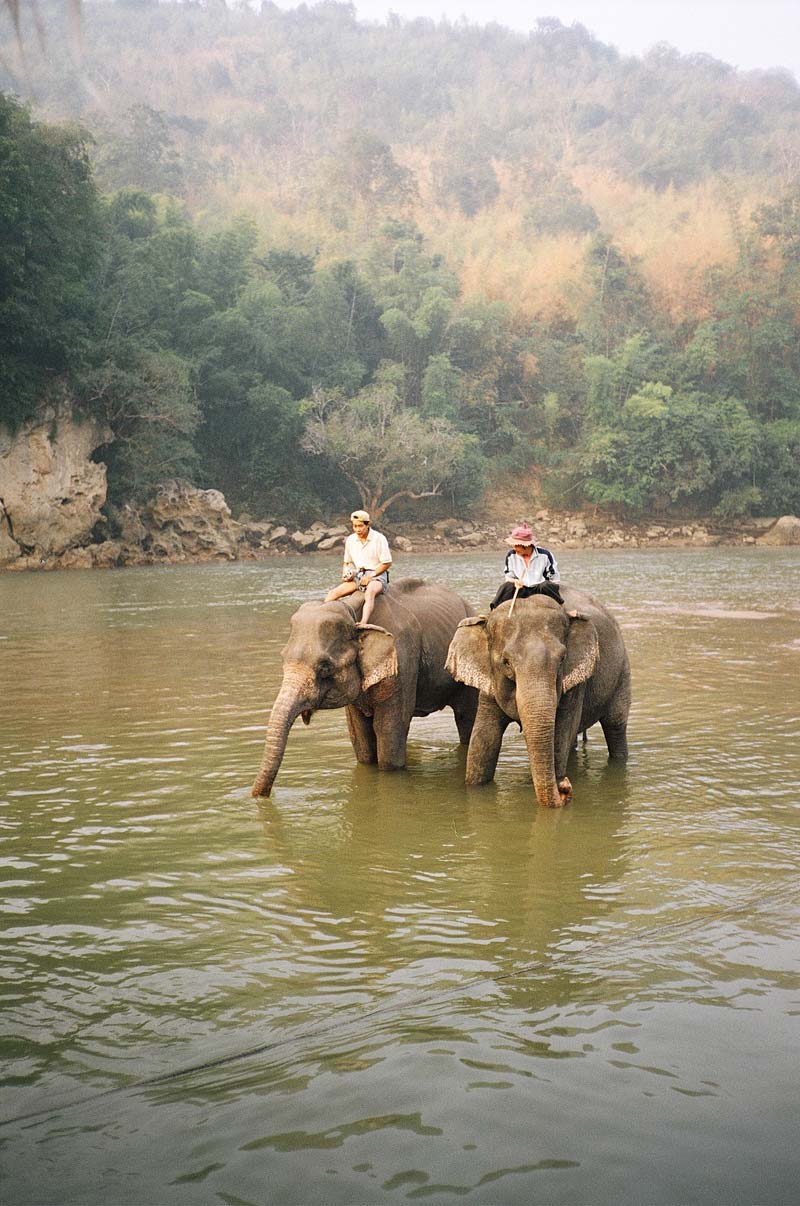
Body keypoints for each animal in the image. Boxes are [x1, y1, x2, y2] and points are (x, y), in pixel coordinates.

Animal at [252, 578, 475, 795]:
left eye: (325, 667)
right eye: (283, 658)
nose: (261, 796)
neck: (353, 613)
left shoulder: (401, 660)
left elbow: (389, 728)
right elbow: (360, 734)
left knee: (465, 718)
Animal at [446, 586, 627, 810]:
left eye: (563, 659)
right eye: (506, 662)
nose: (565, 787)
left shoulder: (575, 687)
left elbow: (561, 732)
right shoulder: (489, 686)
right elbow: (484, 739)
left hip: (622, 672)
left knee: (615, 727)